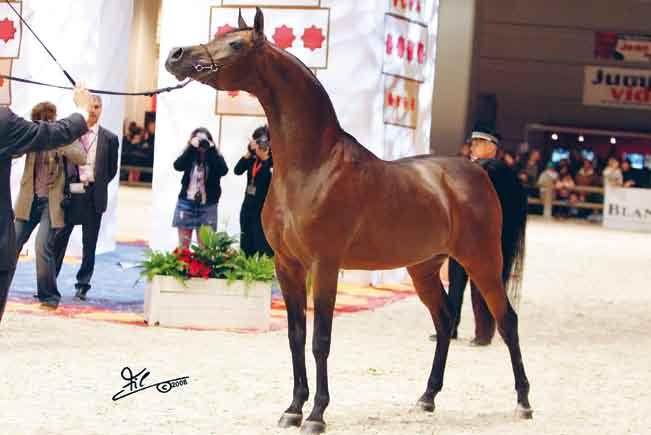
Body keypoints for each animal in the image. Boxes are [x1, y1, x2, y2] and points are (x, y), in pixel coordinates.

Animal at [166, 8, 532, 434]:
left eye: (237, 44)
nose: (175, 55)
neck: (313, 167)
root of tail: (477, 169)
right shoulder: (287, 265)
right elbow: (295, 335)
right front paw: (293, 408)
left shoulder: (325, 265)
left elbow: (320, 339)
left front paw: (317, 415)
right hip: (424, 268)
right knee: (444, 321)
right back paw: (427, 397)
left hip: (482, 262)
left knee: (508, 321)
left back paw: (523, 402)